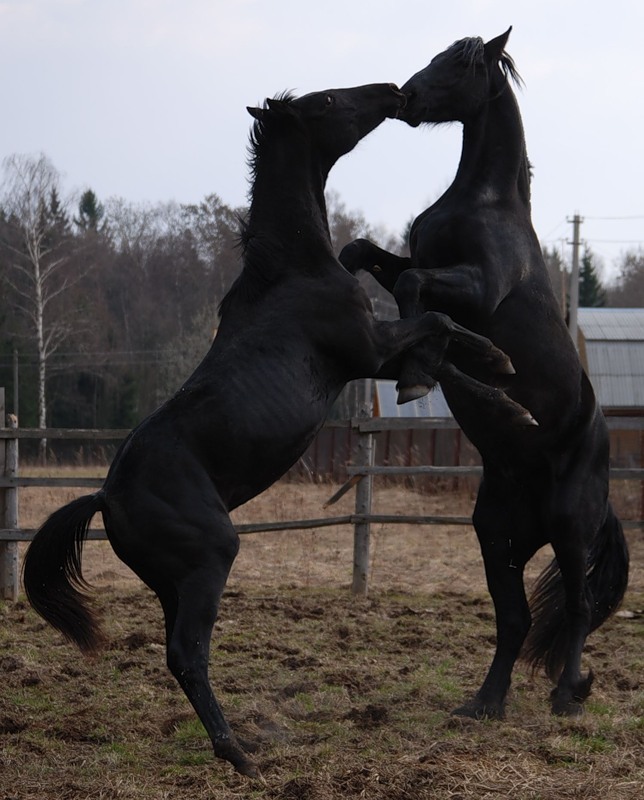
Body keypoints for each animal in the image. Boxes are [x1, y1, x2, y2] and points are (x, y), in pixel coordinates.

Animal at [23, 81, 528, 776]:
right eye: (330, 102)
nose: (391, 91)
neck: (295, 268)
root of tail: (104, 496)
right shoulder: (367, 348)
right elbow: (438, 330)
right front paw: (480, 369)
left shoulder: (371, 354)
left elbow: (447, 353)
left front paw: (503, 390)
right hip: (211, 559)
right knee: (187, 654)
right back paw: (239, 753)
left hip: (171, 582)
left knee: (177, 653)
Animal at [342, 29, 628, 720]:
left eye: (462, 65)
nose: (406, 96)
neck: (485, 203)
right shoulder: (418, 265)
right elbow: (370, 260)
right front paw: (454, 376)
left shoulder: (476, 285)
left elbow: (421, 300)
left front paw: (462, 373)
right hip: (496, 535)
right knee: (514, 619)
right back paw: (484, 703)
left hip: (571, 528)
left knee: (578, 607)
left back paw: (567, 695)